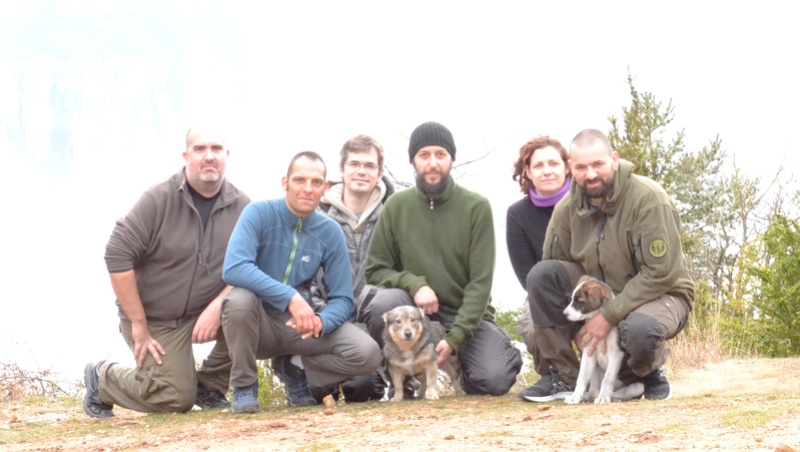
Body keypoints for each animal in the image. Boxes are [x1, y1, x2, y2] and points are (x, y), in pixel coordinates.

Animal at [564, 276, 644, 406]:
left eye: (580, 302)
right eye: (571, 300)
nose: (564, 314)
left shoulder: (616, 355)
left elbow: (608, 379)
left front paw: (603, 397)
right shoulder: (588, 353)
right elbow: (582, 377)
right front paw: (575, 396)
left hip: (638, 387)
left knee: (618, 393)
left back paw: (600, 395)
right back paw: (590, 394)